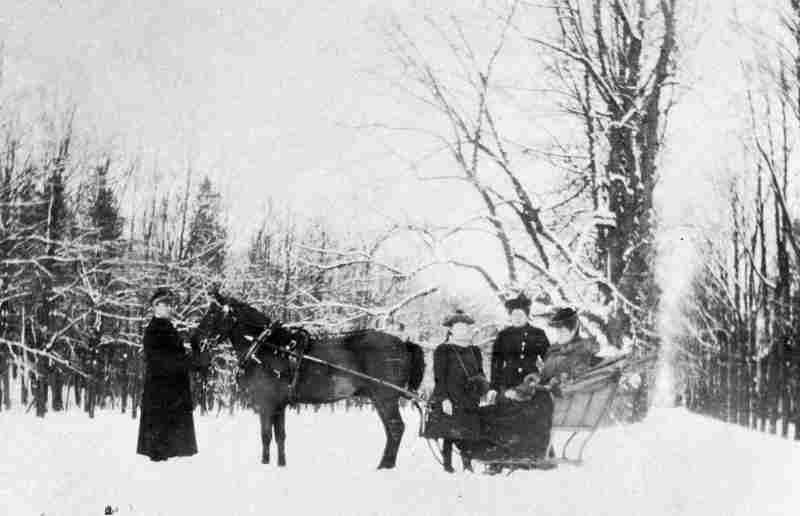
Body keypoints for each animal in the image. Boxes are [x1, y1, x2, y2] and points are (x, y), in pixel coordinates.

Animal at [191, 291, 426, 469]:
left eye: (212, 314)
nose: (195, 341)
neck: (268, 348)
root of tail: (404, 344)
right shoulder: (279, 406)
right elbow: (280, 437)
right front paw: (281, 465)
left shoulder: (266, 404)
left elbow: (266, 436)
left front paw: (265, 465)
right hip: (381, 399)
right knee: (392, 431)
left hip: (385, 398)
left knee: (395, 429)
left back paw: (384, 467)